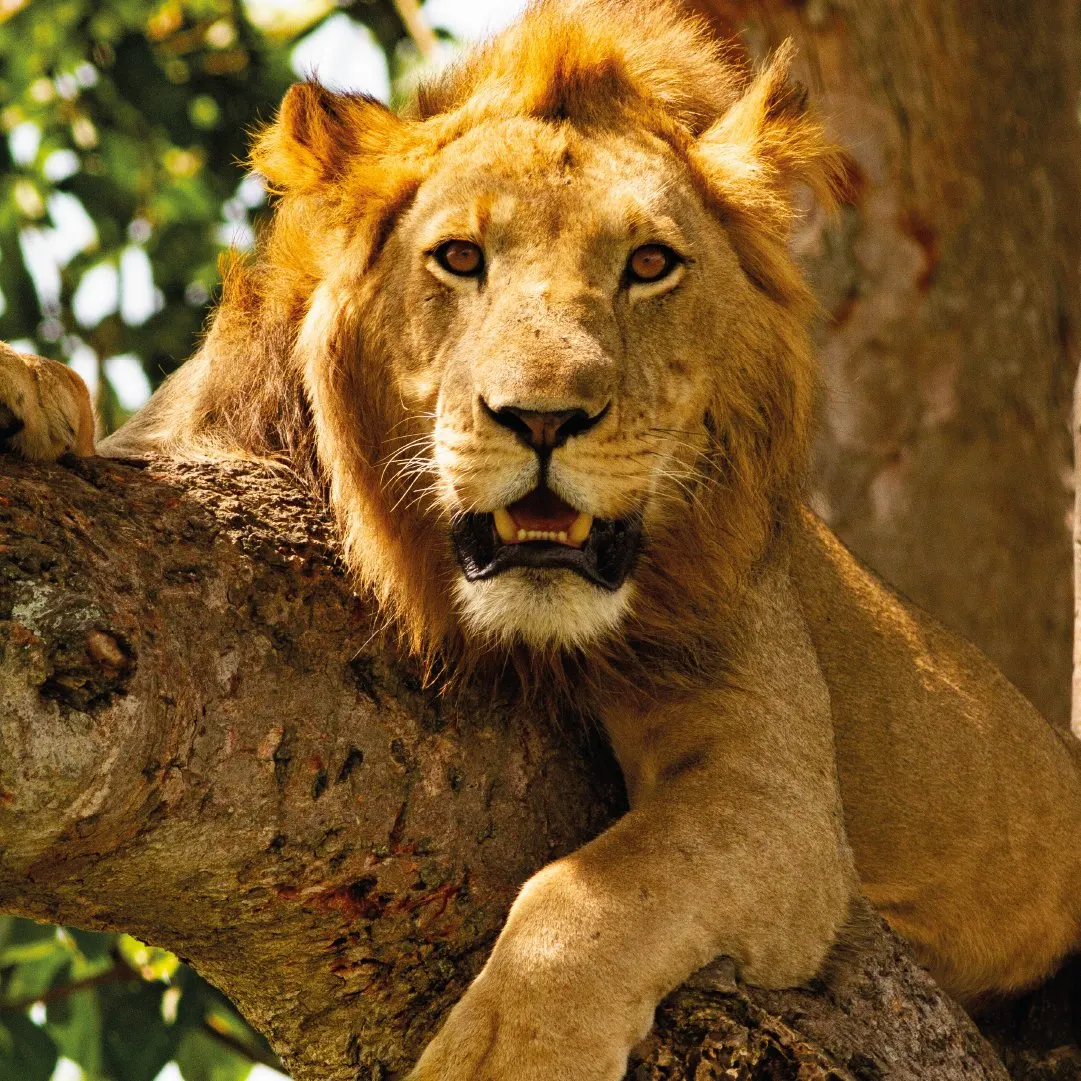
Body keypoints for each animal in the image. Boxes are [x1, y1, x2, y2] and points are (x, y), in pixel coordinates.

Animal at [3, 2, 1080, 1078]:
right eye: (459, 257)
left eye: (648, 264)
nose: (543, 418)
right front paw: (26, 389)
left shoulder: (771, 791)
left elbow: (596, 896)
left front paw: (504, 1053)